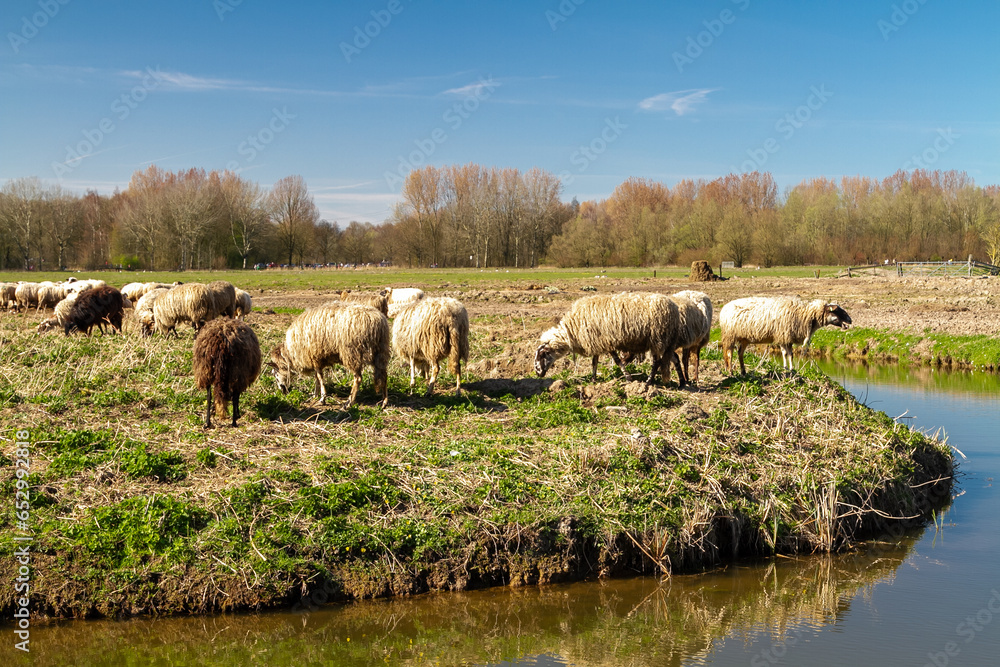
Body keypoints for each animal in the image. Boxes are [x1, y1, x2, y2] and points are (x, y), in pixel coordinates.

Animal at [534, 292, 685, 387]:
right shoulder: (596, 342)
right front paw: (593, 380)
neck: (572, 330)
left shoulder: (607, 342)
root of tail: (674, 309)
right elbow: (594, 362)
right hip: (665, 342)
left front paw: (628, 378)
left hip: (657, 339)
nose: (538, 373)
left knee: (656, 362)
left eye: (543, 355)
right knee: (674, 358)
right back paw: (683, 383)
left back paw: (648, 383)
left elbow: (617, 361)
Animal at [720, 296, 852, 374]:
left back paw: (743, 371)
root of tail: (724, 309)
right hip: (730, 335)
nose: (850, 321)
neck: (806, 315)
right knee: (729, 353)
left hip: (744, 338)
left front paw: (786, 368)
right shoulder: (784, 335)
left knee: (740, 352)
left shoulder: (784, 337)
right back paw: (730, 371)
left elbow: (784, 353)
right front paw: (791, 369)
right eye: (837, 311)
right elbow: (790, 354)